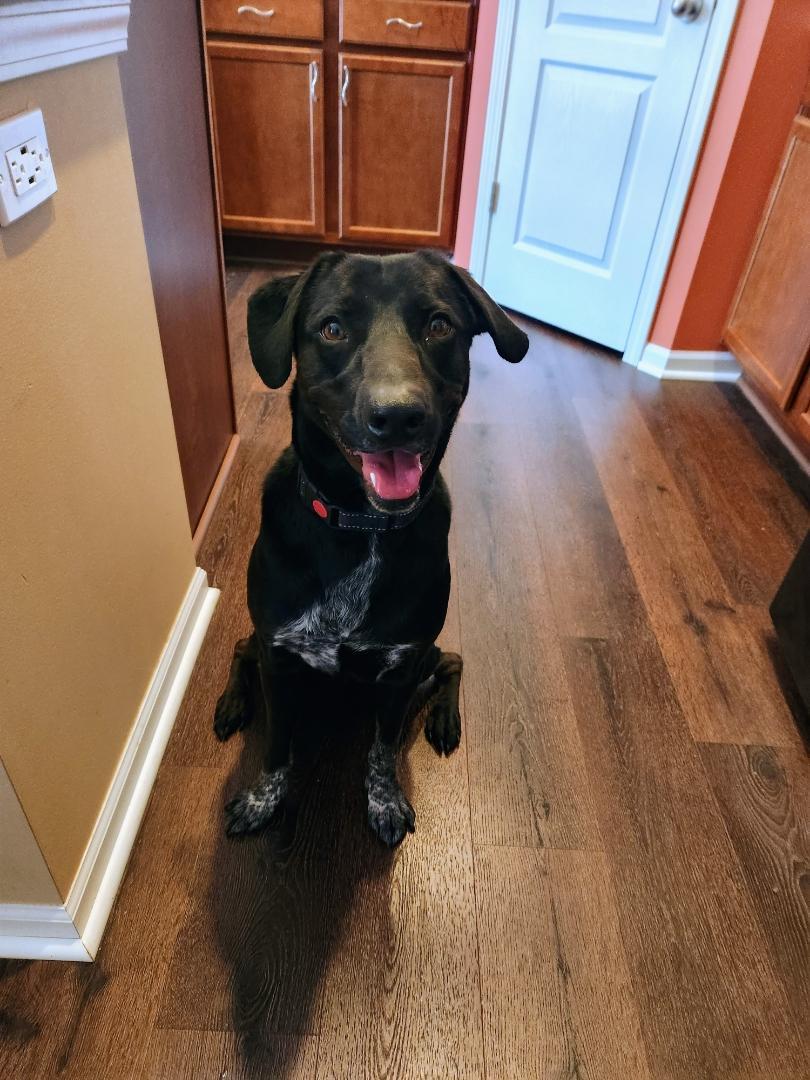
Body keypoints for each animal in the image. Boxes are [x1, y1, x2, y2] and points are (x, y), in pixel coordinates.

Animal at [212, 248, 529, 846]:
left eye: (439, 325)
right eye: (332, 328)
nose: (399, 415)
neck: (361, 529)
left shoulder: (401, 669)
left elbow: (382, 750)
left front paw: (385, 801)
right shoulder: (278, 655)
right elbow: (276, 747)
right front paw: (263, 799)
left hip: (427, 656)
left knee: (453, 660)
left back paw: (445, 720)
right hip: (259, 643)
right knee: (240, 651)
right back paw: (232, 704)